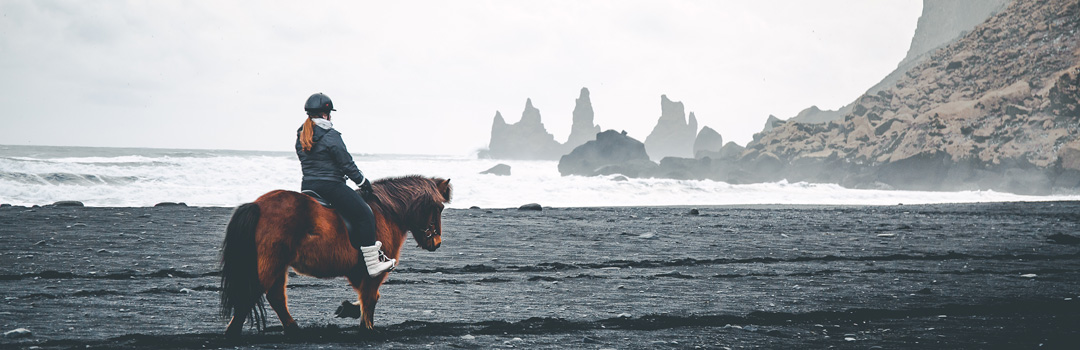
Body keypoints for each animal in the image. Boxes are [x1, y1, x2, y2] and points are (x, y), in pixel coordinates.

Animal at [221, 175, 449, 337]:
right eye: (439, 207)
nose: (436, 243)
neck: (386, 212)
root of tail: (257, 205)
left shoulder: (357, 271)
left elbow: (366, 296)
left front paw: (349, 309)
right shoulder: (373, 272)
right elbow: (371, 296)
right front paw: (368, 329)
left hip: (277, 265)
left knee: (274, 297)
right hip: (271, 264)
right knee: (254, 295)